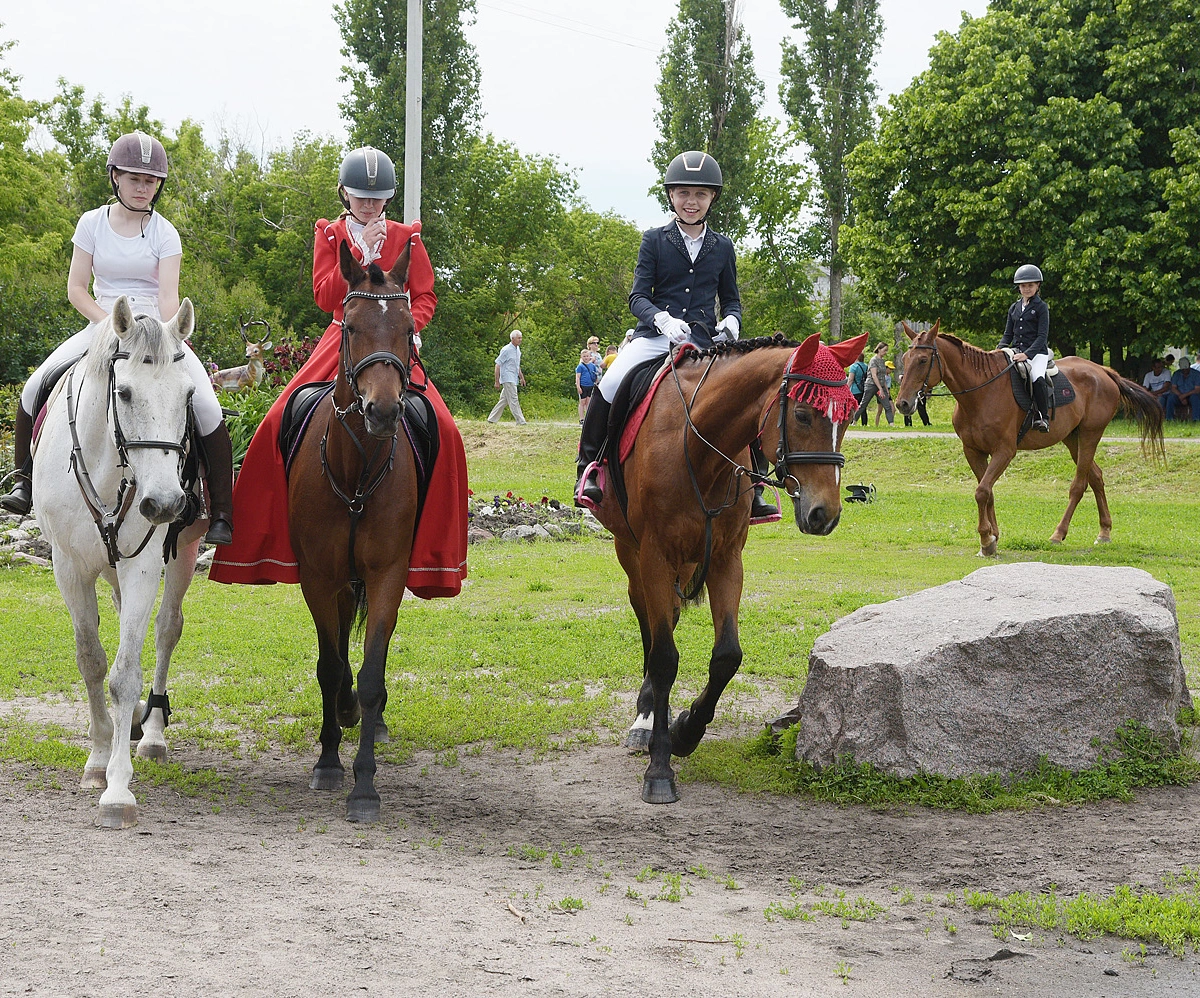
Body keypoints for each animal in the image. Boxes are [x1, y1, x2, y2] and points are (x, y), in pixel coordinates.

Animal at [32, 293, 206, 825]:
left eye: (188, 396)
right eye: (124, 393)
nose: (165, 503)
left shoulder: (143, 564)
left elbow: (125, 672)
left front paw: (117, 789)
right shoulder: (69, 568)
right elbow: (91, 661)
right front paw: (97, 760)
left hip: (184, 551)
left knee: (167, 628)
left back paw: (150, 733)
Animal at [585, 328, 868, 801]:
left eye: (847, 418)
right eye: (804, 415)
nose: (824, 515)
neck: (698, 450)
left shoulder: (725, 558)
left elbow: (727, 656)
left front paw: (686, 730)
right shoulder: (654, 556)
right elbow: (664, 657)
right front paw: (659, 767)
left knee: (669, 618)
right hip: (631, 555)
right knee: (648, 627)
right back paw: (645, 719)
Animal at [902, 321, 1161, 556]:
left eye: (923, 360)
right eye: (904, 358)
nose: (903, 403)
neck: (981, 393)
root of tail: (1102, 371)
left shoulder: (1005, 451)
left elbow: (982, 491)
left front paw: (986, 540)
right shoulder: (973, 451)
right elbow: (987, 492)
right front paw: (994, 537)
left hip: (1090, 434)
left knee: (1079, 485)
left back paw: (1058, 534)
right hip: (1072, 438)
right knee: (1096, 477)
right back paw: (1104, 532)